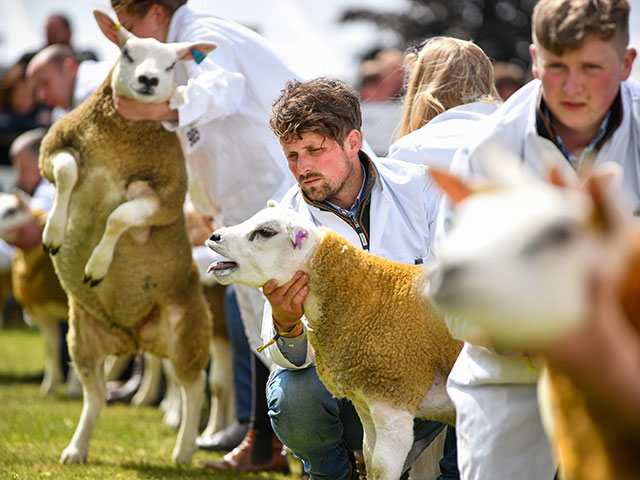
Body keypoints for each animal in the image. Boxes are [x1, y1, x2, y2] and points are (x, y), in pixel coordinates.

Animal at [38, 9, 216, 464]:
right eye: (127, 52)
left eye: (171, 65)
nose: (149, 81)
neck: (119, 140)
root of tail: (135, 336)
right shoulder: (58, 144)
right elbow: (67, 172)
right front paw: (54, 232)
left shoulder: (163, 195)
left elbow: (119, 217)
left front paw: (96, 265)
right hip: (82, 337)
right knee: (96, 395)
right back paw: (77, 448)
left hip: (188, 329)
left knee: (191, 386)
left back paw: (184, 450)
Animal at [205, 202, 460, 480]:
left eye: (266, 232)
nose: (214, 236)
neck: (364, 298)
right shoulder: (365, 403)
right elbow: (369, 457)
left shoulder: (395, 401)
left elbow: (382, 467)